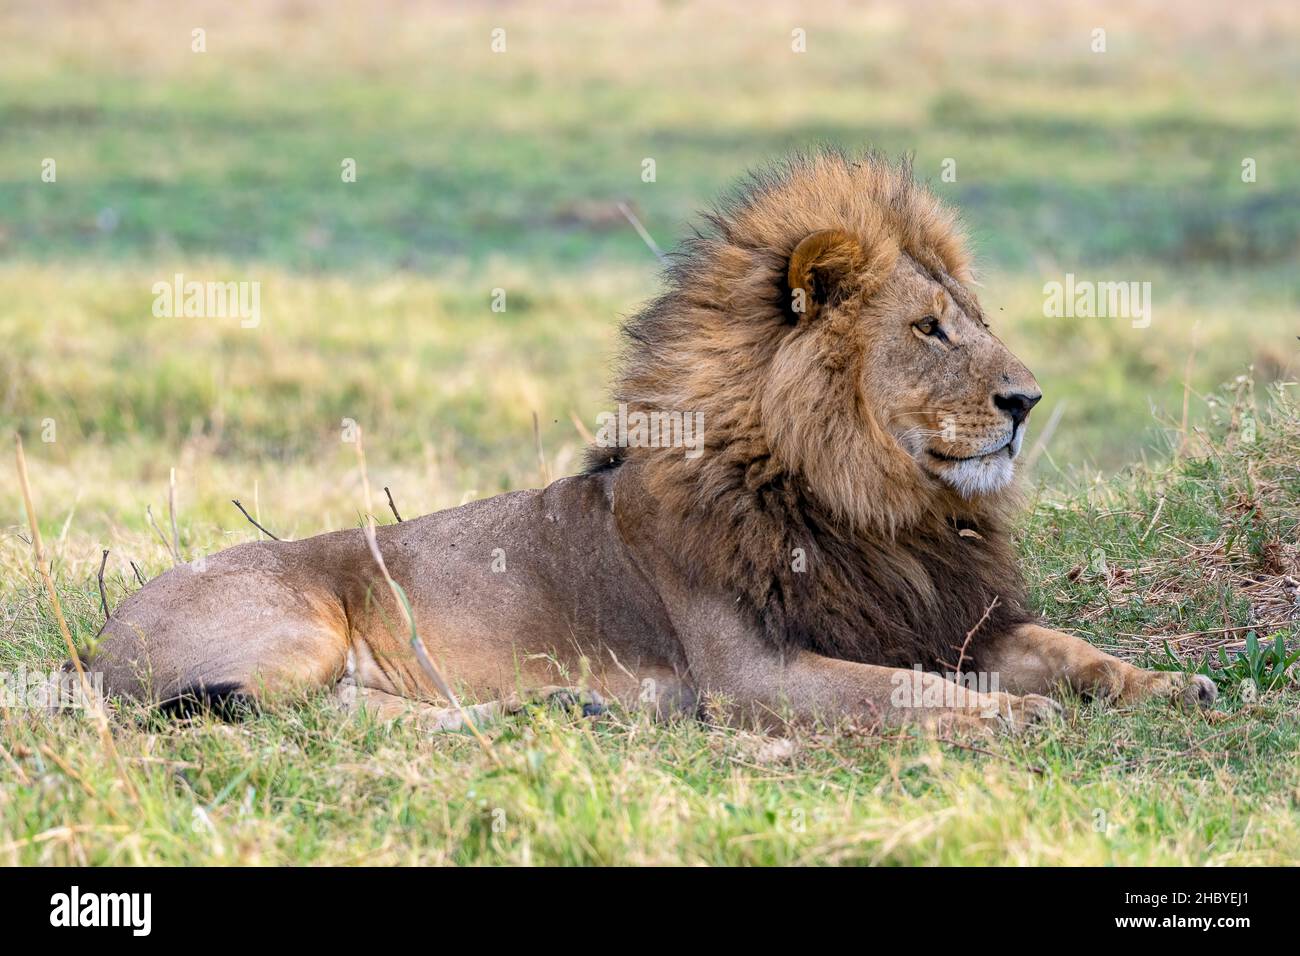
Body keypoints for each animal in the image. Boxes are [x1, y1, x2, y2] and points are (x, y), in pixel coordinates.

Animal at [88, 150, 1216, 733]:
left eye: (972, 320)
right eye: (928, 330)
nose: (1026, 398)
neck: (878, 511)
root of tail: (98, 641)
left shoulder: (952, 617)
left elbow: (1071, 651)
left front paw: (1173, 685)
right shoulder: (751, 671)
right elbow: (904, 690)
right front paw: (1005, 720)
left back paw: (557, 711)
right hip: (299, 632)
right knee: (313, 717)